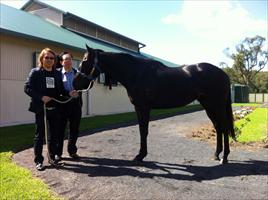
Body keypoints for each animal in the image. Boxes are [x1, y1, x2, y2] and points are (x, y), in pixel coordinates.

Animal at [73, 45, 234, 164]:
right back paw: (216, 154)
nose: (75, 83)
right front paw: (141, 154)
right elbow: (142, 131)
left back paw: (225, 157)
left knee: (224, 127)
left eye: (85, 60)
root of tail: (224, 74)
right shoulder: (138, 108)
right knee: (218, 127)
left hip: (217, 106)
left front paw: (140, 156)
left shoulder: (144, 107)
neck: (136, 73)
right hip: (209, 106)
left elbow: (143, 131)